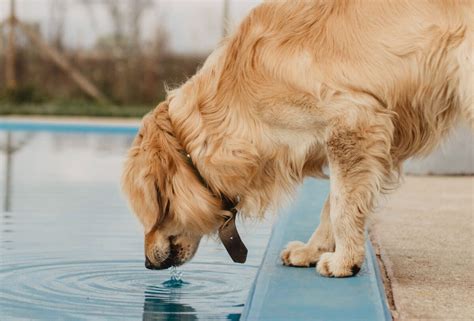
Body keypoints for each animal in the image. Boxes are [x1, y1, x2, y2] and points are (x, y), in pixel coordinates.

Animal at [121, 0, 470, 276]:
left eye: (148, 212)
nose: (147, 265)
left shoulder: (354, 120)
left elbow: (342, 204)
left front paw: (344, 260)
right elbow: (332, 204)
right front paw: (314, 250)